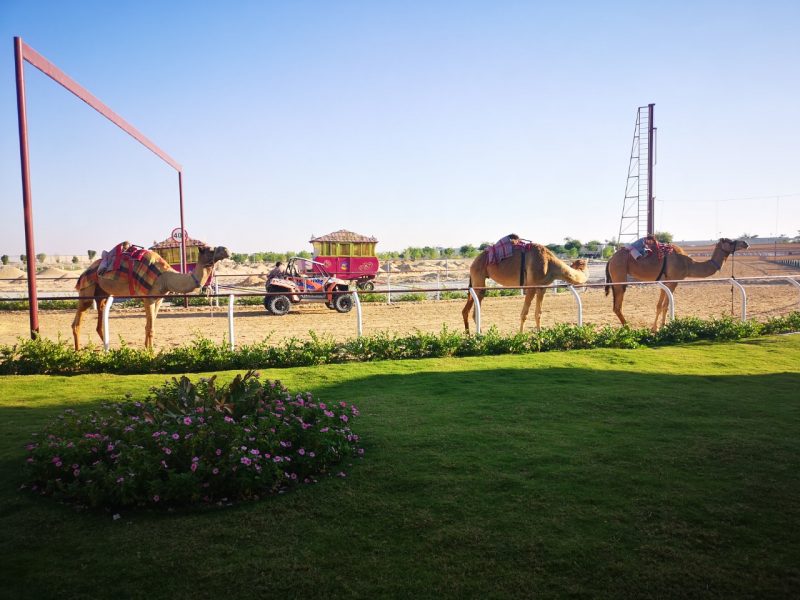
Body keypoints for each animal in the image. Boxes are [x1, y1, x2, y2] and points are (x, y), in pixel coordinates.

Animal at [72, 243, 230, 350]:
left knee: (100, 319)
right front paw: (151, 352)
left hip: (102, 293)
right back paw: (78, 351)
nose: (227, 250)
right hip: (86, 289)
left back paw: (107, 350)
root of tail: (85, 271)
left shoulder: (159, 299)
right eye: (211, 249)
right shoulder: (148, 298)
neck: (165, 277)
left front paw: (147, 349)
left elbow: (149, 326)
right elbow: (150, 327)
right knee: (77, 321)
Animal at [608, 237, 752, 330]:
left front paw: (654, 329)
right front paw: (663, 328)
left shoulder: (665, 282)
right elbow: (666, 306)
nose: (745, 243)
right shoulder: (674, 281)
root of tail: (610, 259)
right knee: (617, 306)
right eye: (730, 241)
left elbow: (659, 306)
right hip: (619, 275)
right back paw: (628, 328)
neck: (689, 264)